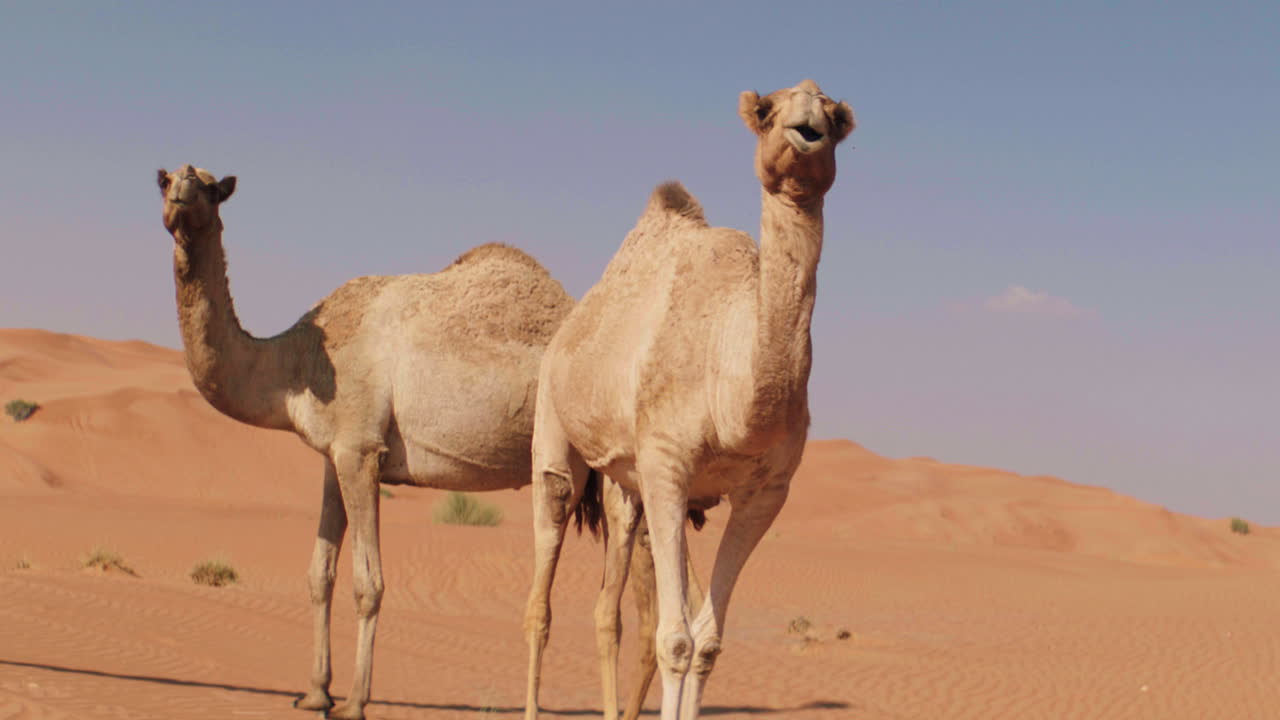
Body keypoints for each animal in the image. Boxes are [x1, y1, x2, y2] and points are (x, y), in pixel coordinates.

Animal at [156, 165, 677, 720]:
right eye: (164, 180)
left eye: (210, 188)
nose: (179, 197)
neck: (295, 362)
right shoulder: (334, 455)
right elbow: (320, 573)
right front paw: (315, 692)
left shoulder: (360, 450)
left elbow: (368, 583)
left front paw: (354, 702)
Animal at [525, 79, 854, 720]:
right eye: (767, 111)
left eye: (833, 115)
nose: (807, 127)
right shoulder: (667, 463)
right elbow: (675, 640)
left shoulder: (766, 493)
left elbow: (706, 642)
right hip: (554, 422)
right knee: (543, 586)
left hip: (627, 487)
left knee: (608, 609)